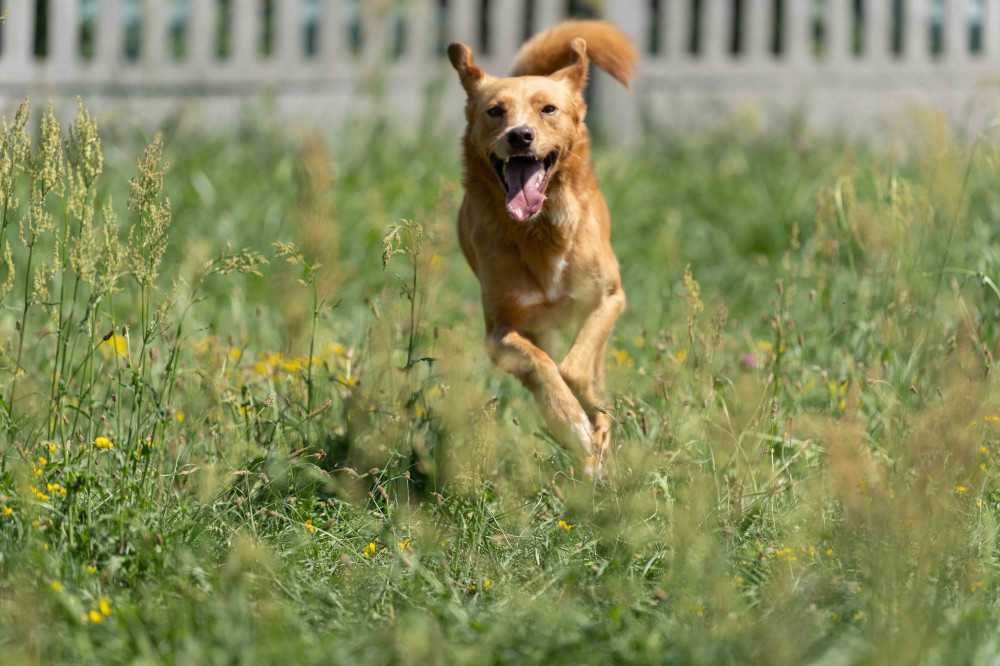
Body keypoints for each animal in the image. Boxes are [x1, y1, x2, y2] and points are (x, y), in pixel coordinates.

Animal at [450, 20, 636, 474]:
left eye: (548, 109)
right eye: (495, 110)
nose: (520, 136)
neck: (540, 232)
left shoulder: (610, 299)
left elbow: (578, 369)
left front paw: (593, 420)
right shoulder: (500, 333)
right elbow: (543, 368)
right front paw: (572, 423)